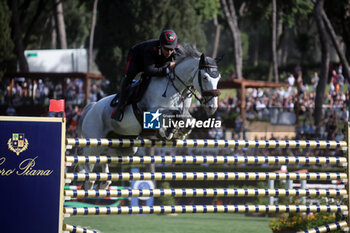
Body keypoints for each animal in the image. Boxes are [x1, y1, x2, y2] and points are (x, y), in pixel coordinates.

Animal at [78, 44, 223, 189]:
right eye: (205, 77)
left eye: (218, 78)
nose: (212, 107)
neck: (175, 88)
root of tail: (91, 108)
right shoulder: (152, 111)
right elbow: (173, 113)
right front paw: (166, 132)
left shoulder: (185, 112)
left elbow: (189, 119)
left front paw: (177, 133)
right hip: (93, 143)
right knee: (89, 166)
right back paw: (91, 182)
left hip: (125, 145)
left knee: (105, 154)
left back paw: (104, 181)